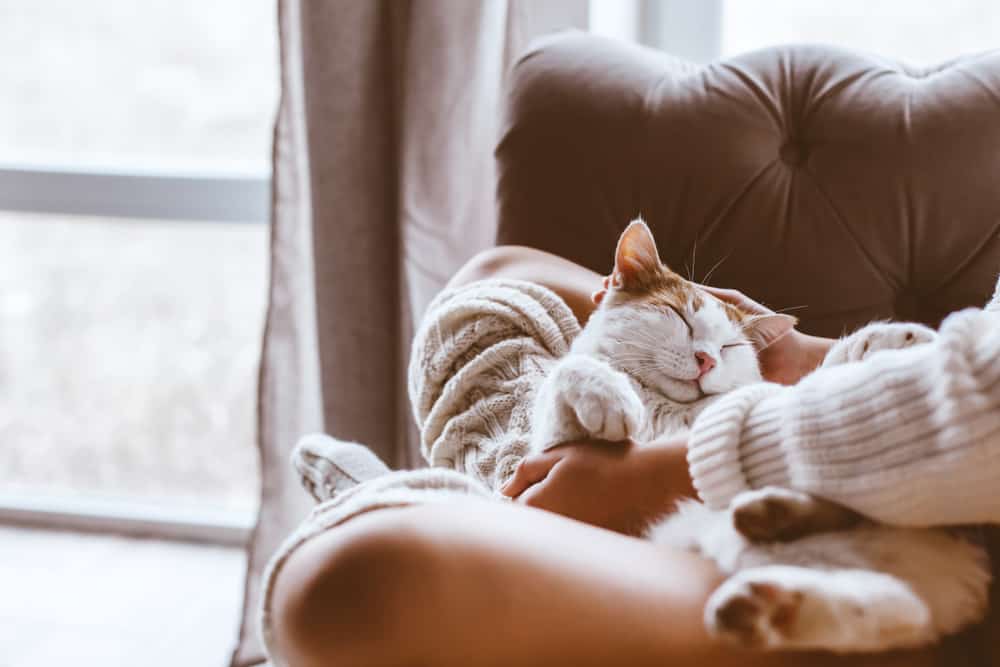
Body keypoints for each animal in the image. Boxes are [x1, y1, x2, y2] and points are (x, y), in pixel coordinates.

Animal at [528, 219, 988, 652]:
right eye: (681, 317)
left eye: (729, 347)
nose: (706, 359)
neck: (664, 407)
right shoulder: (548, 445)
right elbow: (569, 372)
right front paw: (605, 394)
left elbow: (799, 391)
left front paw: (882, 338)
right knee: (902, 608)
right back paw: (772, 589)